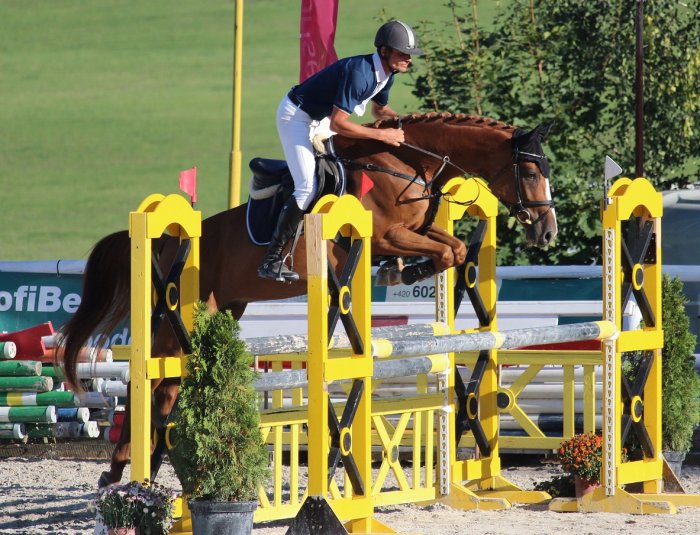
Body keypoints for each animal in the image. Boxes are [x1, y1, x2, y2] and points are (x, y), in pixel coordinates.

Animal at [58, 113, 557, 487]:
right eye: (531, 172)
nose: (546, 231)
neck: (403, 162)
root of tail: (166, 239)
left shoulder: (415, 231)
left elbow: (450, 249)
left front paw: (405, 270)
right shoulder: (387, 234)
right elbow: (442, 250)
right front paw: (404, 269)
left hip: (222, 308)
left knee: (167, 385)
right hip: (181, 311)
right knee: (147, 380)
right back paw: (118, 468)